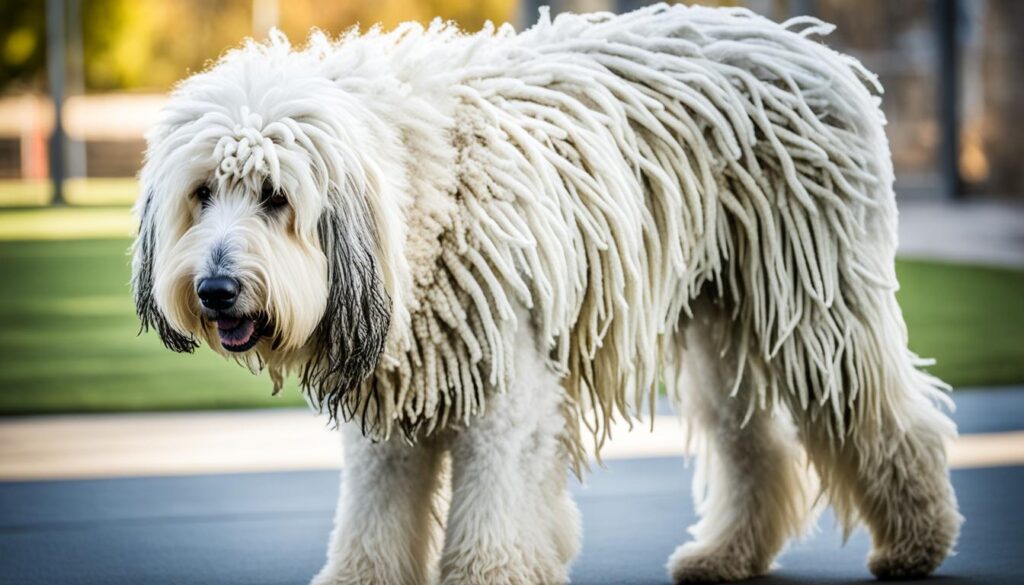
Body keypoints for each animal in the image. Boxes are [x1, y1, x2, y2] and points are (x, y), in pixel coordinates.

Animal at [134, 5, 958, 585]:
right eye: (202, 193)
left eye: (274, 196)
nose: (215, 289)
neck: (419, 187)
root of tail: (812, 49)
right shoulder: (395, 412)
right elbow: (374, 519)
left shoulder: (507, 390)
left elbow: (493, 506)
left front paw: (490, 572)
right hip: (721, 323)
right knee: (753, 444)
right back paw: (726, 555)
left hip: (818, 306)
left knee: (885, 417)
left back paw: (917, 542)